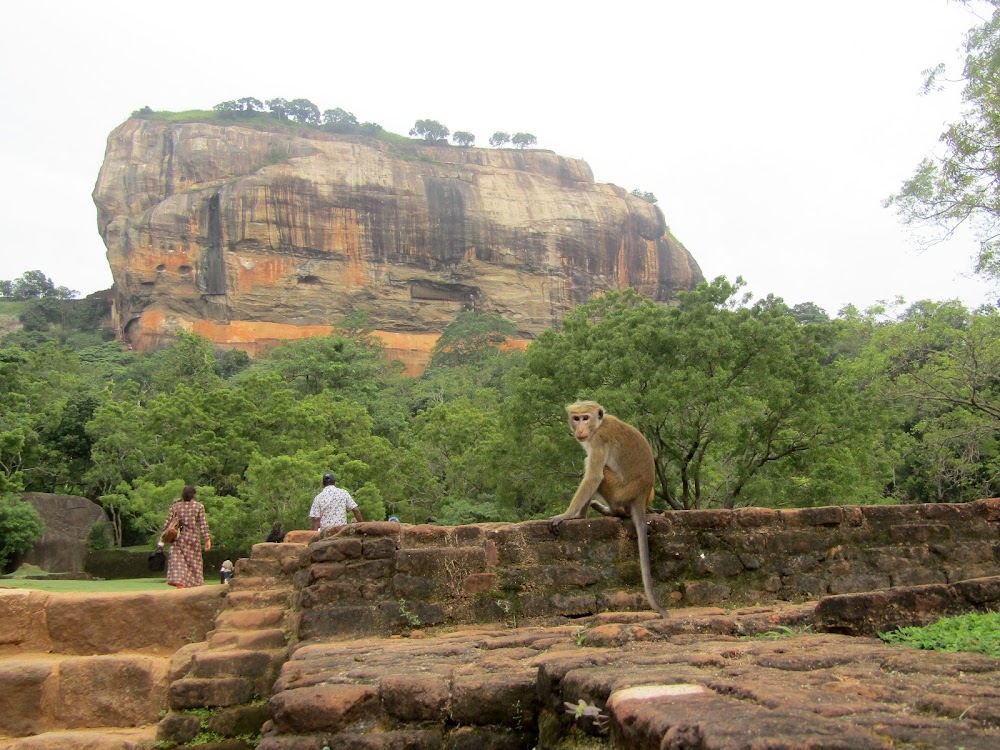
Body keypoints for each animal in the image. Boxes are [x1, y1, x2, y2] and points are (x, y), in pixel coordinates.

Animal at [552, 402, 668, 620]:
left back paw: (608, 511)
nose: (580, 428)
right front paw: (577, 516)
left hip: (618, 491)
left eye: (585, 418)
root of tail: (640, 497)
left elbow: (593, 477)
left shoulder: (599, 439)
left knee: (597, 470)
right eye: (576, 418)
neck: (598, 425)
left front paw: (569, 515)